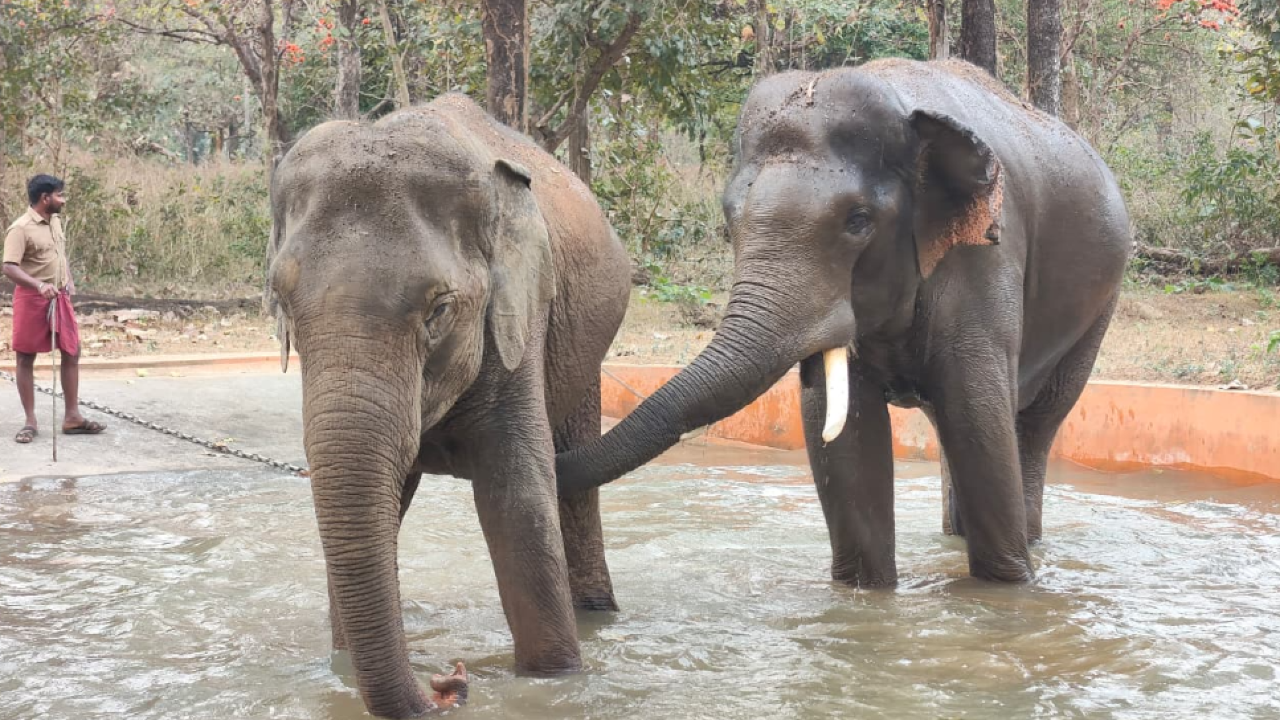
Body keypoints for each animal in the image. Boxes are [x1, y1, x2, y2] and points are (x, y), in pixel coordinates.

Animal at [266, 93, 631, 718]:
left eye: (439, 309)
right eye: (283, 303)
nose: (450, 678)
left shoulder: (522, 322)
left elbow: (516, 500)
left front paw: (554, 683)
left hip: (587, 353)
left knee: (575, 479)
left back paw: (596, 616)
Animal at [556, 59, 1130, 587]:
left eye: (858, 222)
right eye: (728, 219)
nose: (555, 463)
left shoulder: (986, 258)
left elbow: (977, 415)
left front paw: (1009, 591)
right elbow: (840, 433)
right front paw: (865, 594)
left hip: (1101, 302)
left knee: (1031, 425)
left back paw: (1029, 539)